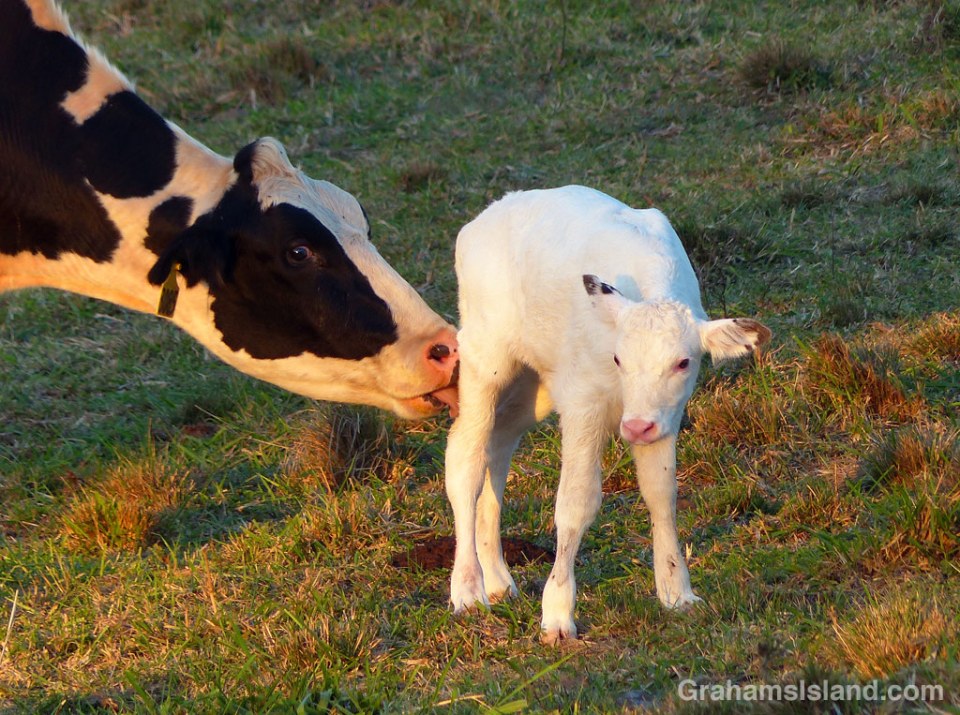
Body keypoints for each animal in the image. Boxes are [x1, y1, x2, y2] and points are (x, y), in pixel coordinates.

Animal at [445, 186, 771, 644]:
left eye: (683, 362)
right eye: (618, 358)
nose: (635, 426)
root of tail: (487, 215)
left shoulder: (664, 415)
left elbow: (661, 493)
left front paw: (677, 592)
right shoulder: (583, 403)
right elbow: (576, 502)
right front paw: (557, 615)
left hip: (533, 386)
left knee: (498, 446)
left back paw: (498, 579)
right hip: (483, 355)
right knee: (465, 459)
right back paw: (469, 591)